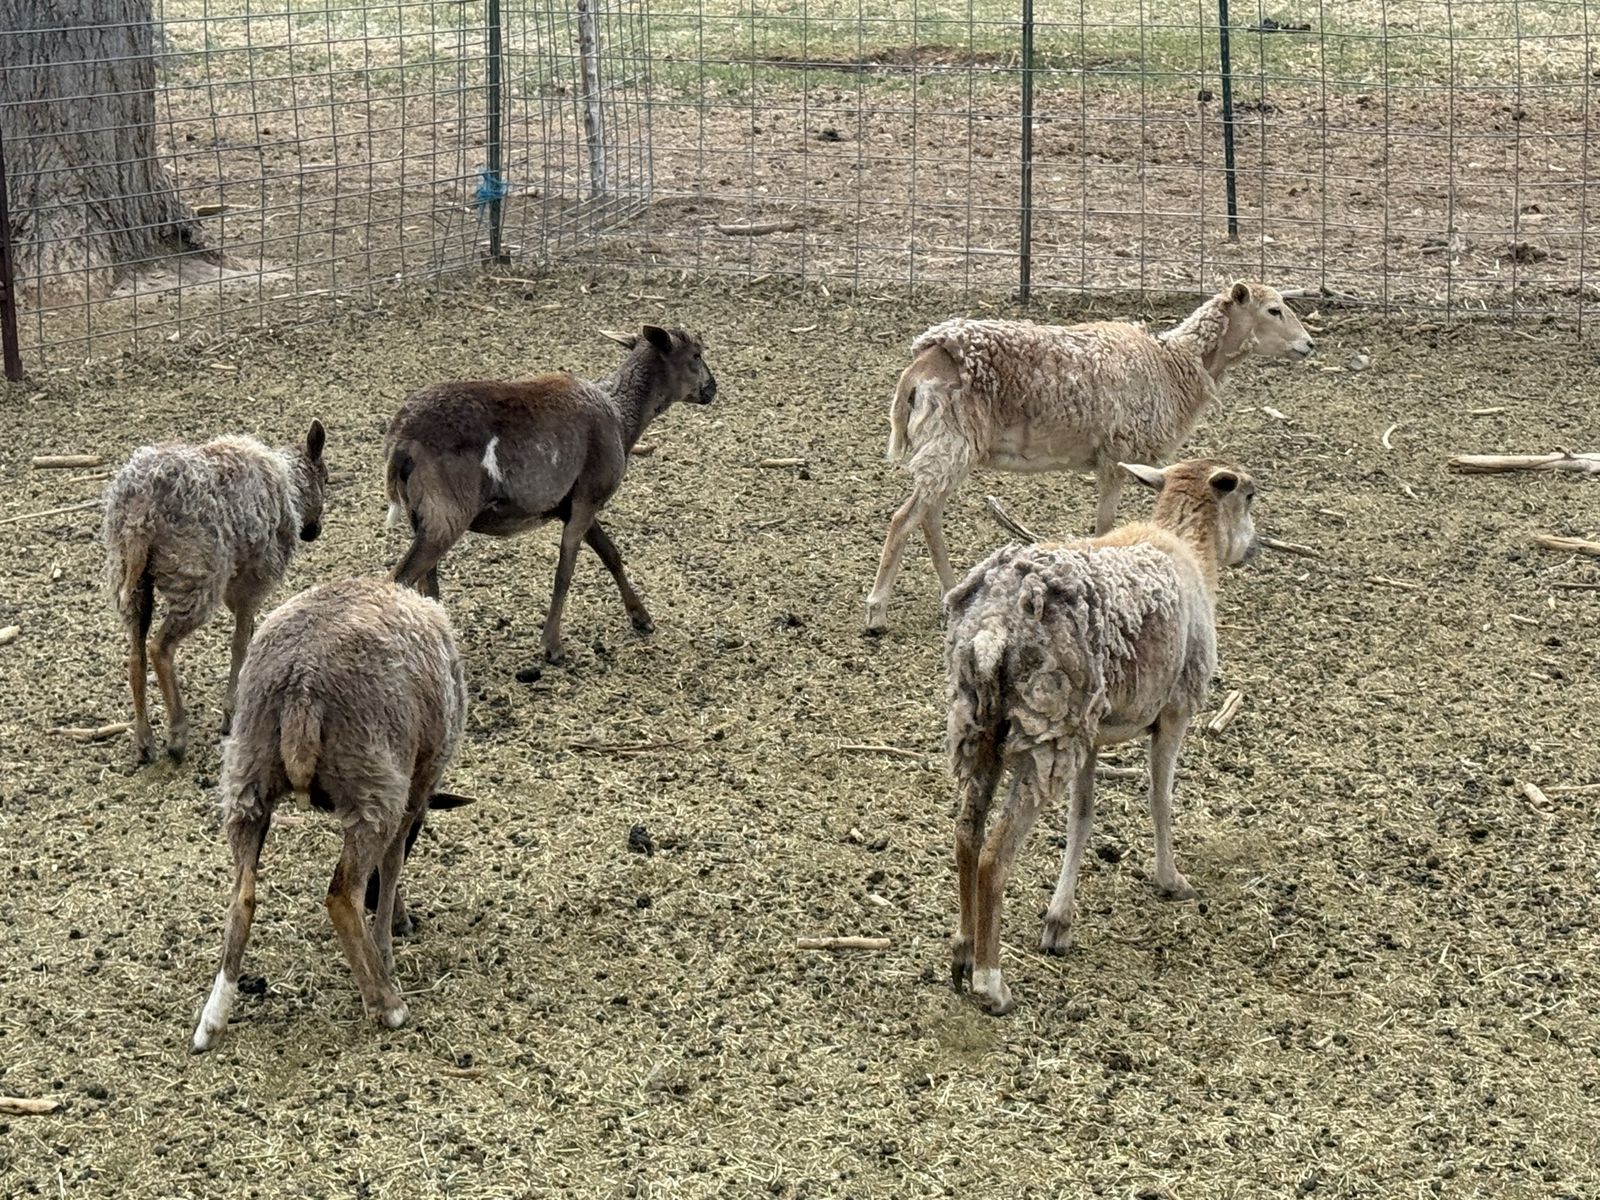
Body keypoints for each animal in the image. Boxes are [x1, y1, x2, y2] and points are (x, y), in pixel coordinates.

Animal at [101, 421, 328, 763]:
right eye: (326, 480)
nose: (314, 532)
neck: (291, 487)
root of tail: (140, 514)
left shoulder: (237, 584)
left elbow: (247, 633)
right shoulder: (253, 579)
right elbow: (240, 643)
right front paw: (231, 712)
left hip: (130, 578)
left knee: (136, 655)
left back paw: (144, 741)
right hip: (195, 575)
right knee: (160, 648)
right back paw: (177, 734)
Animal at [191, 577, 470, 1051]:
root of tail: (301, 686)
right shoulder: (416, 784)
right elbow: (392, 866)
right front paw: (388, 943)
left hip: (246, 779)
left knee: (241, 897)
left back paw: (211, 1022)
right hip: (373, 785)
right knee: (341, 894)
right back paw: (386, 1004)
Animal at [384, 325, 717, 667]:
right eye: (696, 354)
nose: (712, 389)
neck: (621, 416)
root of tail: (401, 441)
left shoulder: (573, 504)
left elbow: (611, 555)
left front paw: (641, 617)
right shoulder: (588, 499)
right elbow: (565, 572)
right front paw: (552, 646)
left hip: (421, 515)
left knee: (426, 585)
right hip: (446, 515)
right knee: (398, 580)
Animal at [865, 281, 1310, 634]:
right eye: (1274, 309)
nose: (1309, 344)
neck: (1172, 367)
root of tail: (920, 367)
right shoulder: (1116, 453)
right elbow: (1105, 525)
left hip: (951, 448)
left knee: (928, 518)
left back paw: (951, 592)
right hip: (950, 444)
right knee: (904, 519)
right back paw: (877, 613)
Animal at [942, 457, 1260, 1015]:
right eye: (1250, 495)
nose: (1256, 545)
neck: (1186, 544)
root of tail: (995, 627)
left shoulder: (1091, 734)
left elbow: (1082, 818)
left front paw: (1059, 921)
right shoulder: (1175, 711)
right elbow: (1160, 798)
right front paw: (1170, 880)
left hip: (983, 722)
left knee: (966, 833)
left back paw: (962, 951)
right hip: (1045, 726)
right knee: (995, 854)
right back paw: (991, 981)